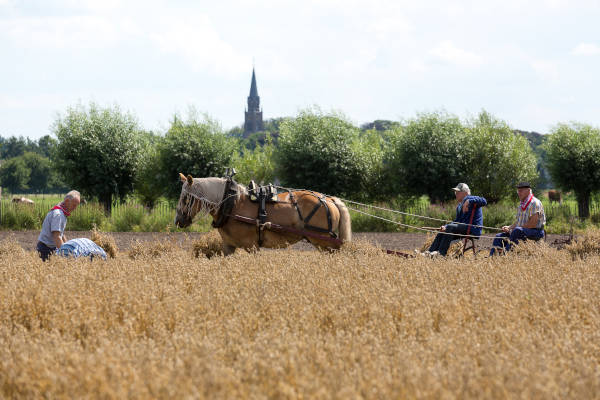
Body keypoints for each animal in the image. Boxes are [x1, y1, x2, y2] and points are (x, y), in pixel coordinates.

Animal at [173, 173, 352, 256]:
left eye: (186, 198)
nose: (178, 220)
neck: (232, 204)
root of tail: (328, 199)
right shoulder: (228, 246)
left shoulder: (252, 246)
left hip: (323, 241)